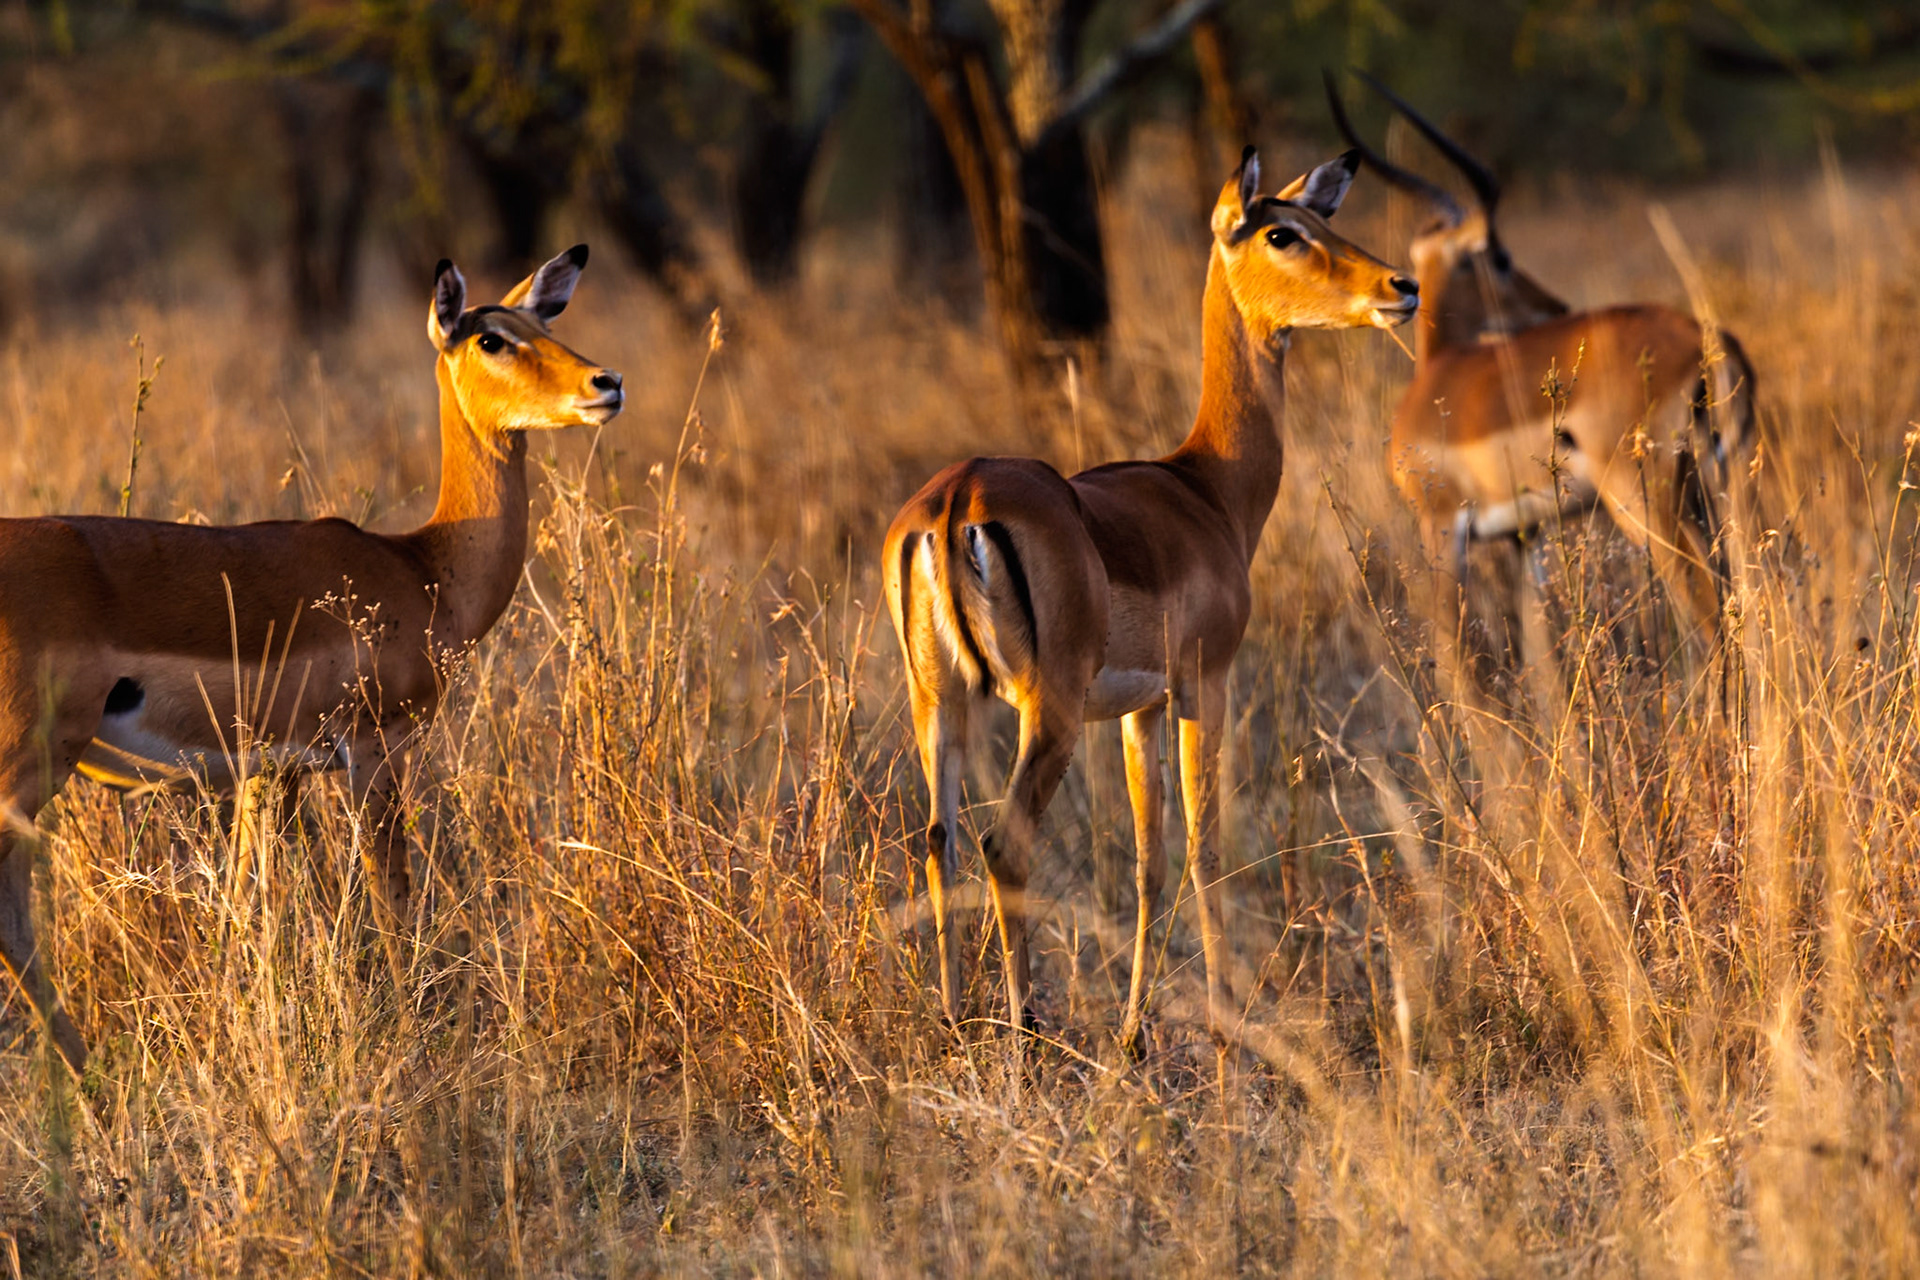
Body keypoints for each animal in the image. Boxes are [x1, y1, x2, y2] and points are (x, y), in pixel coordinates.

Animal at [0, 245, 622, 1072]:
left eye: (544, 324)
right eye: (491, 338)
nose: (606, 385)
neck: (422, 569)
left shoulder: (267, 777)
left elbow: (246, 911)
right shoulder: (371, 752)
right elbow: (392, 902)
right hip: (31, 763)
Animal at [883, 148, 1417, 1047]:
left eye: (1326, 218)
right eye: (1282, 233)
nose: (1400, 287)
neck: (1205, 488)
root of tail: (958, 499)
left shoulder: (1138, 708)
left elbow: (1146, 859)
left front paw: (1135, 1031)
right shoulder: (1206, 682)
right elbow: (1206, 848)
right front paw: (1225, 1020)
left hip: (939, 700)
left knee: (938, 838)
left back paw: (954, 1020)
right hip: (1049, 708)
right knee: (1004, 845)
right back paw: (1024, 1033)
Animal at [1326, 73, 1756, 644]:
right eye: (1502, 258)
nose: (1553, 306)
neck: (1441, 372)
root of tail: (1708, 341)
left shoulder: (1441, 527)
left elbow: (1457, 651)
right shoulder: (1522, 535)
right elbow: (1539, 648)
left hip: (1647, 501)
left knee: (1709, 613)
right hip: (1716, 490)